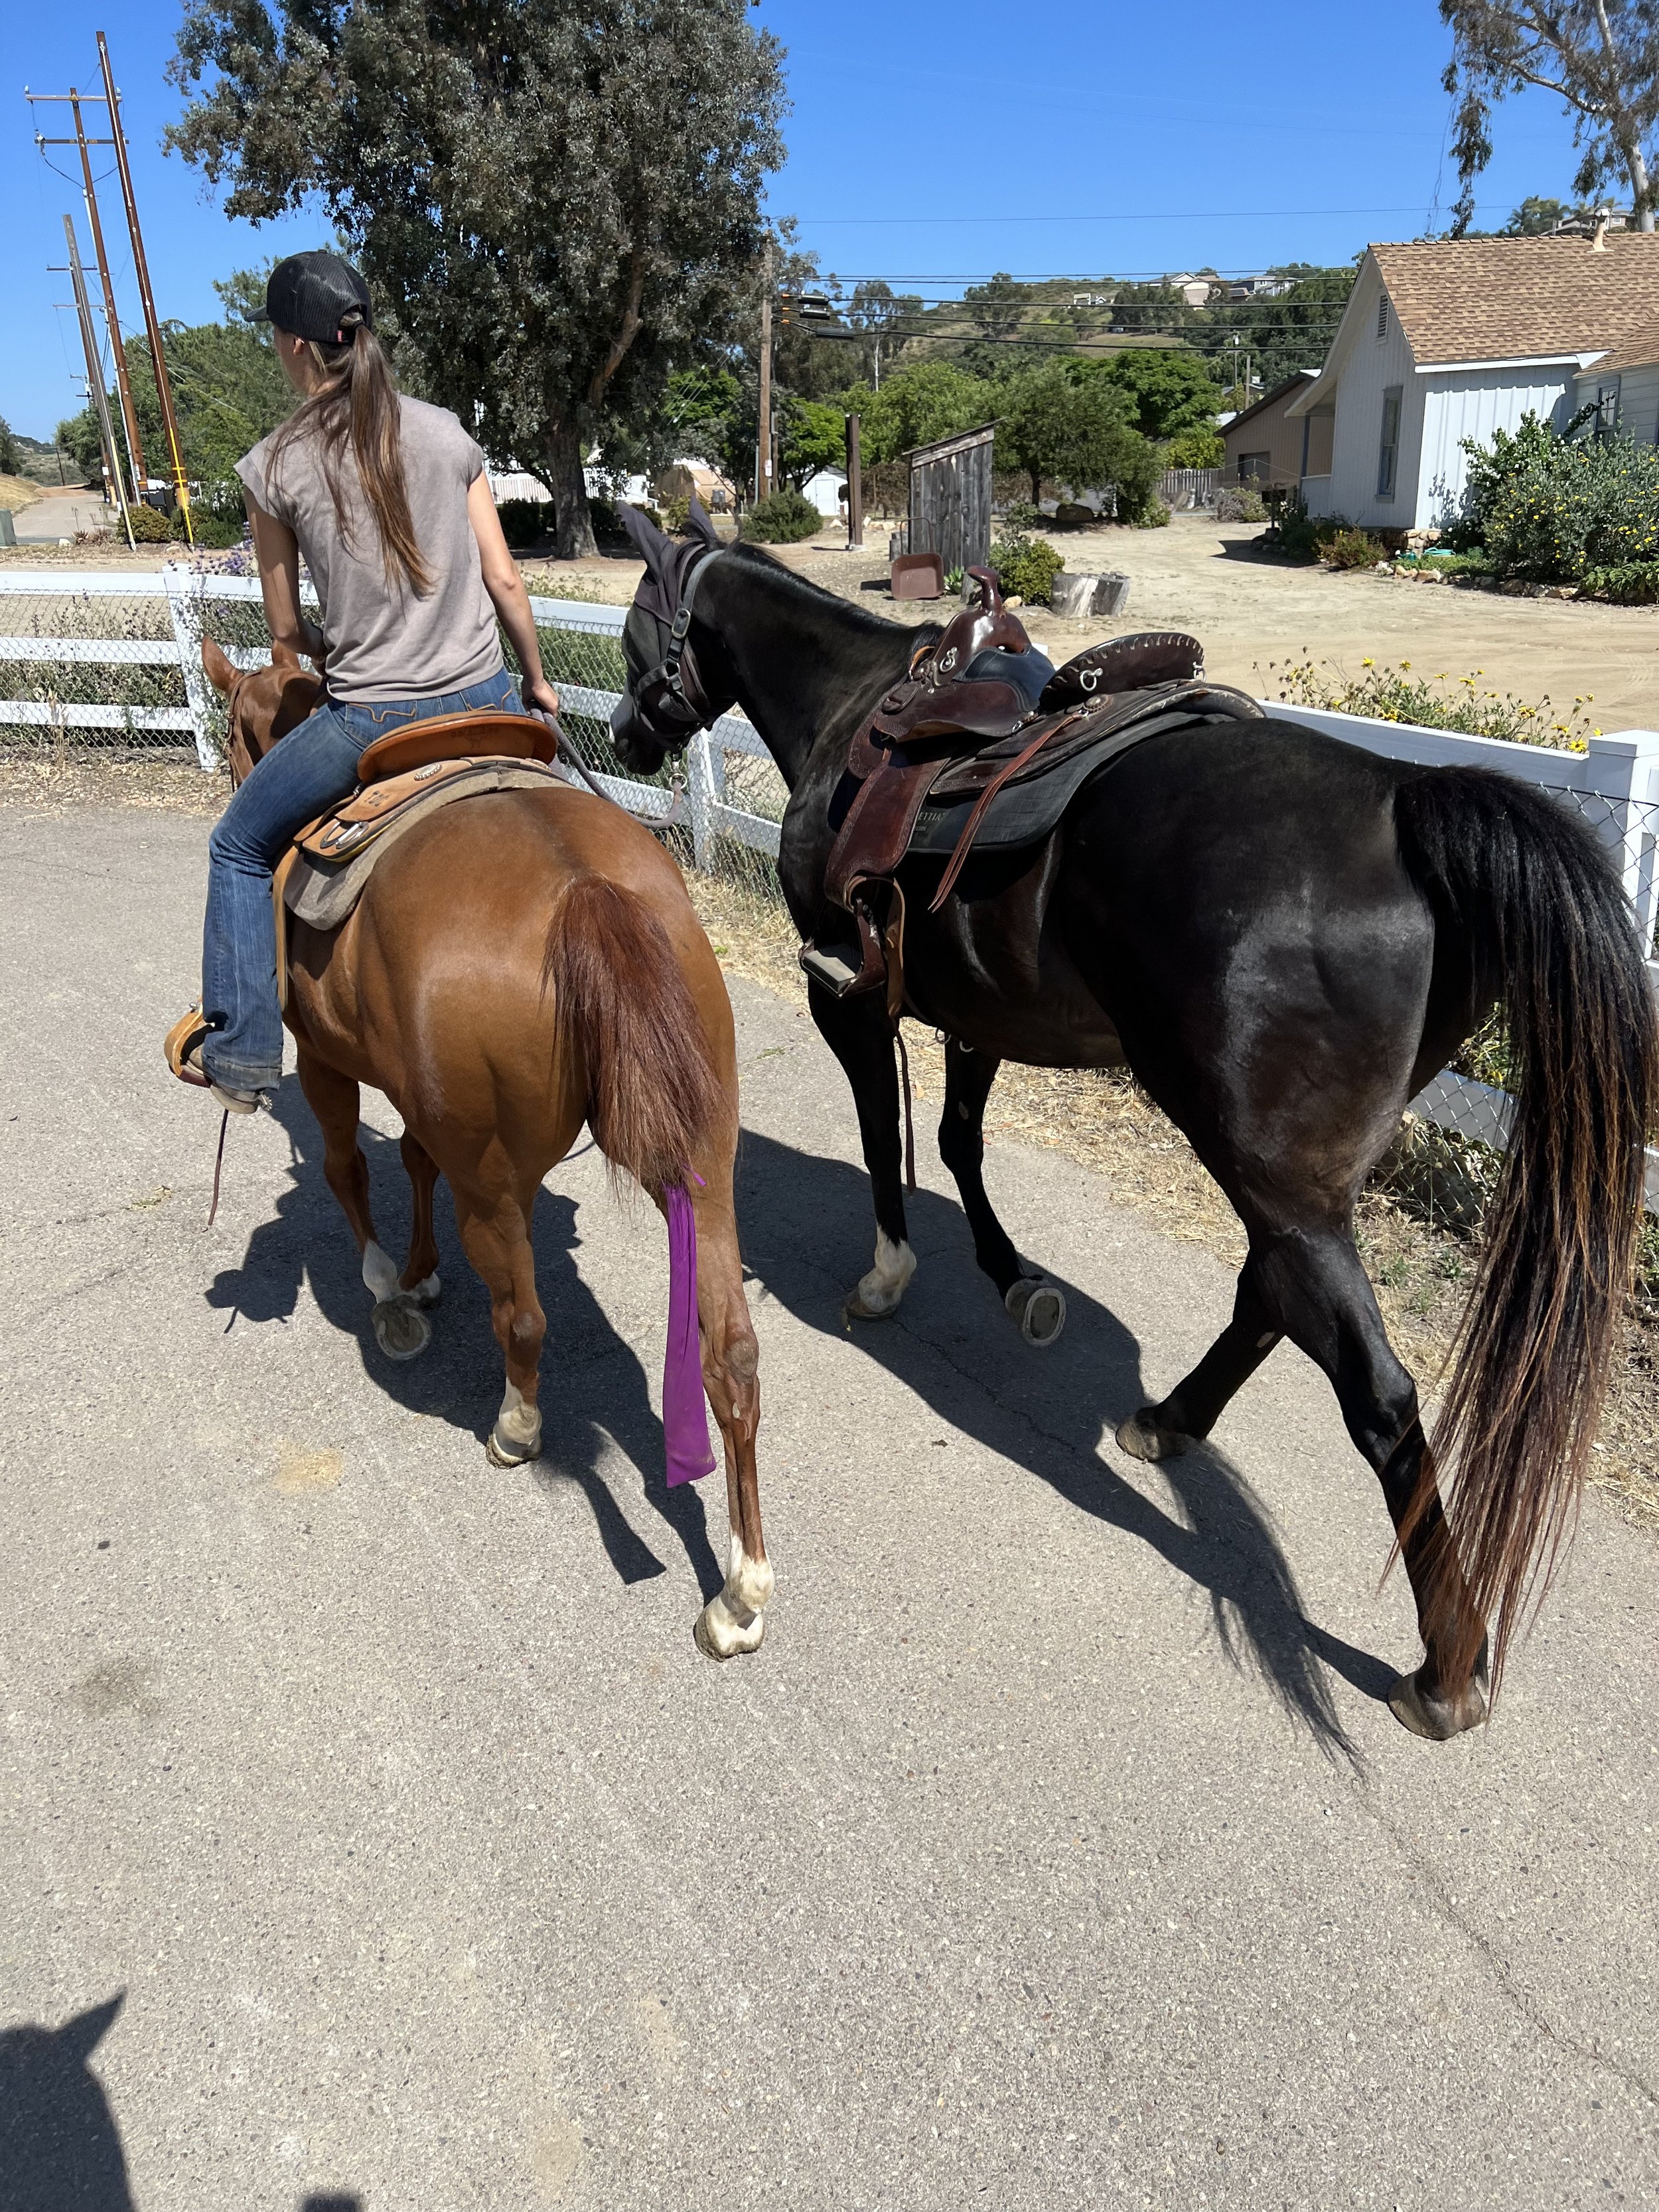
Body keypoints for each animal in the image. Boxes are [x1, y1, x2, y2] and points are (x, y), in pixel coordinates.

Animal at [198, 637, 774, 1660]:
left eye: (235, 729)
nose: (228, 770)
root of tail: (584, 888)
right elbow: (411, 1162)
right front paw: (421, 1272)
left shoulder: (326, 1060)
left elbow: (349, 1167)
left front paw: (393, 1292)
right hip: (705, 1156)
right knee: (731, 1352)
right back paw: (739, 1594)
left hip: (496, 1176)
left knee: (526, 1317)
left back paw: (516, 1426)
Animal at [608, 511, 1658, 1739]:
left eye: (637, 630)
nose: (625, 734)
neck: (852, 707)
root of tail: (1409, 806)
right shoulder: (981, 1010)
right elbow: (957, 1140)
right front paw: (1014, 1279)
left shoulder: (848, 996)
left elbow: (884, 1139)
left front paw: (889, 1275)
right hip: (1293, 1181)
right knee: (1270, 1298)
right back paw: (1170, 1419)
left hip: (1271, 1173)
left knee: (1377, 1390)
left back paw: (1445, 1667)